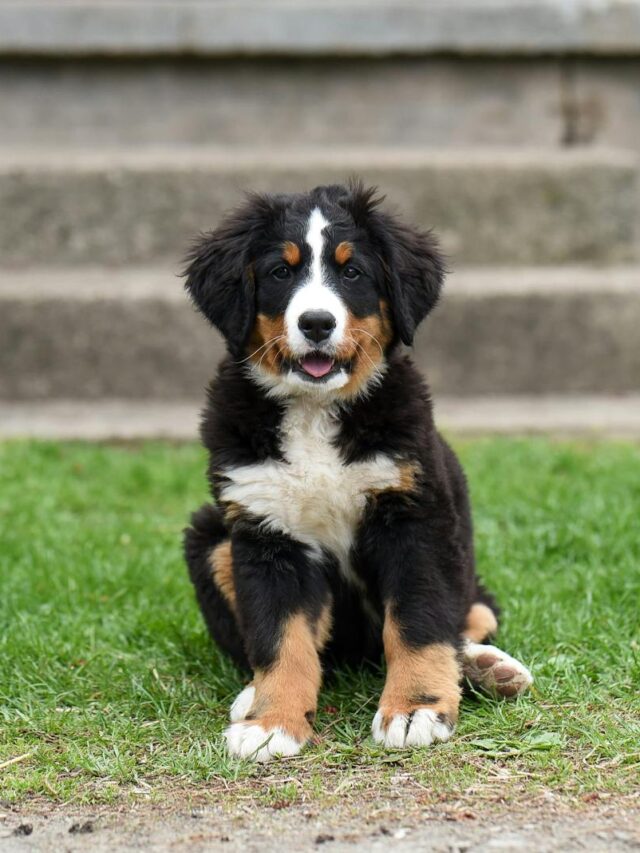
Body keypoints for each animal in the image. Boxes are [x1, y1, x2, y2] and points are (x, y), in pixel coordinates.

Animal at [182, 180, 532, 760]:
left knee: (471, 619)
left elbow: (417, 622)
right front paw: (271, 721)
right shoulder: (265, 532)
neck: (315, 409)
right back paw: (251, 694)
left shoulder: (414, 518)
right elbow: (280, 637)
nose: (316, 323)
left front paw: (415, 708)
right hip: (211, 538)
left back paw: (487, 667)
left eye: (352, 273)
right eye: (280, 272)